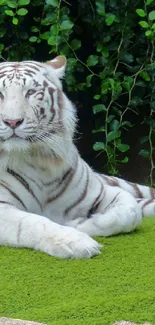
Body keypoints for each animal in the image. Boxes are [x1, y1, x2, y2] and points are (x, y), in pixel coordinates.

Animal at [0, 55, 154, 258]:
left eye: (31, 92)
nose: (12, 122)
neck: (38, 159)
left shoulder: (101, 192)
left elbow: (130, 212)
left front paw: (79, 224)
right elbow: (33, 222)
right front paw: (75, 241)